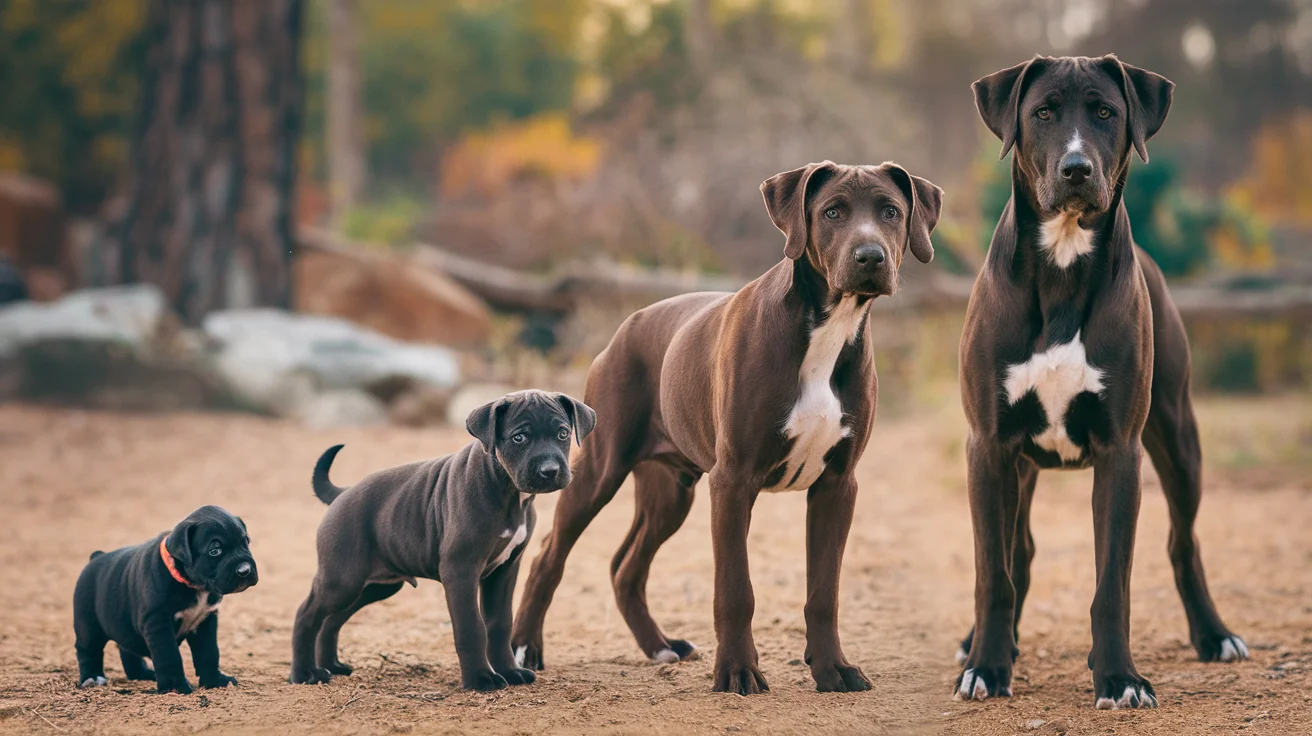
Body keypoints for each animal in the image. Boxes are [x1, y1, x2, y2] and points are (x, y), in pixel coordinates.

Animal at [72, 501, 258, 692]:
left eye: (246, 541)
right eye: (215, 550)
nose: (245, 569)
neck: (192, 584)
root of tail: (96, 557)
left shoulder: (205, 621)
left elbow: (209, 652)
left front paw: (214, 680)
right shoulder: (158, 623)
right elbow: (169, 656)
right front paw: (175, 687)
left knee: (127, 649)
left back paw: (142, 673)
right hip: (88, 625)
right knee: (87, 650)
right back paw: (92, 677)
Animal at [289, 390, 598, 687]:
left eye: (563, 433)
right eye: (519, 437)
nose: (549, 471)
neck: (507, 492)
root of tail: (342, 494)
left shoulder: (504, 570)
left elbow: (499, 624)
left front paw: (510, 672)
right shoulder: (461, 569)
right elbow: (471, 626)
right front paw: (480, 679)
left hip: (375, 586)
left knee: (330, 621)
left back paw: (332, 666)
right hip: (342, 579)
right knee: (306, 615)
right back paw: (304, 673)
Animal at [506, 160, 939, 692]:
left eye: (891, 212)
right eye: (833, 212)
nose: (870, 256)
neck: (827, 326)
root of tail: (627, 325)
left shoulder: (838, 485)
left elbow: (824, 591)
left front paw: (832, 668)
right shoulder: (733, 482)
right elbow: (735, 588)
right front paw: (737, 670)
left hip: (671, 491)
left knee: (626, 568)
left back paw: (660, 646)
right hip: (599, 471)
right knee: (549, 555)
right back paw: (525, 648)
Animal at [955, 54, 1249, 708]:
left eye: (1106, 113)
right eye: (1042, 112)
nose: (1076, 169)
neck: (1064, 259)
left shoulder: (1121, 450)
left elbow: (1112, 581)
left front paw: (1119, 676)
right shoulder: (989, 445)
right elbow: (991, 572)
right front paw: (987, 664)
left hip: (1178, 437)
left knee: (1184, 545)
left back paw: (1215, 635)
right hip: (1020, 466)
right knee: (1018, 553)